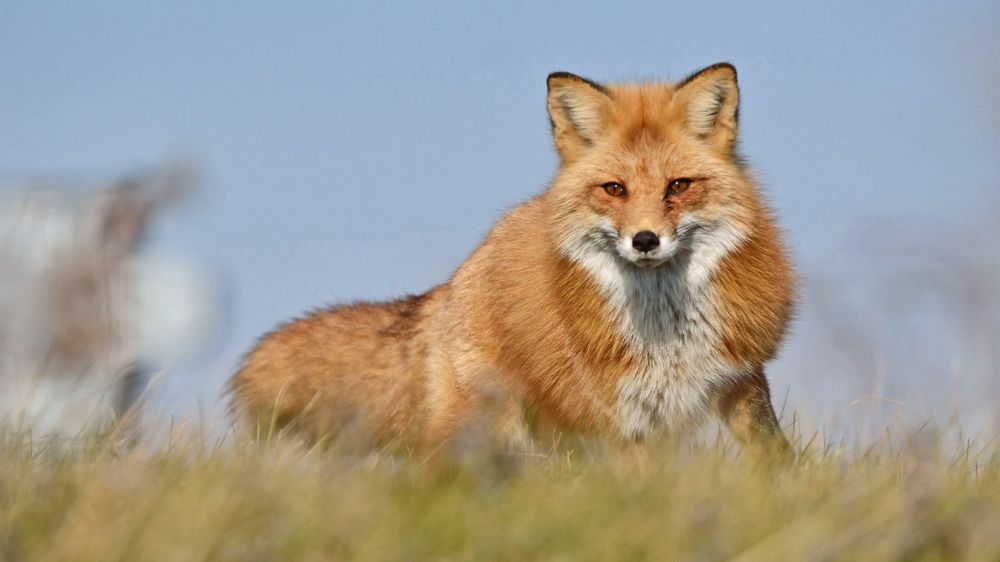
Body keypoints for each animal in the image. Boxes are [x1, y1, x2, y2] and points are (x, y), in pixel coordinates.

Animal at [229, 63, 796, 457]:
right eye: (614, 189)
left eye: (679, 186)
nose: (645, 240)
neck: (666, 330)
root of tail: (453, 282)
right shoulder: (615, 413)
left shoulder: (739, 377)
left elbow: (774, 459)